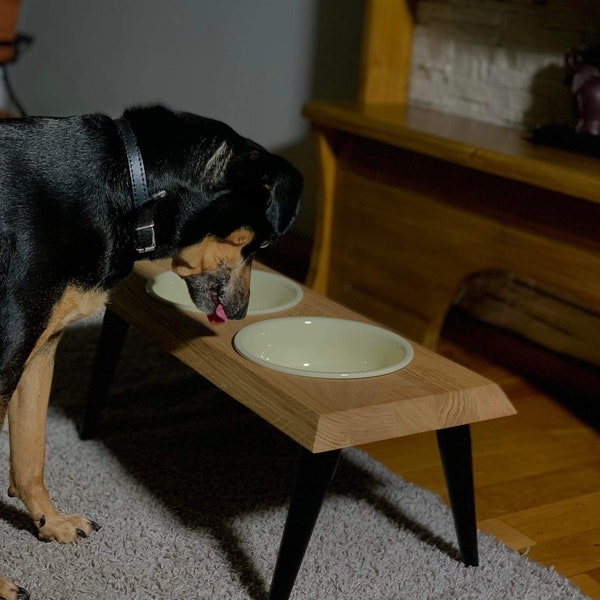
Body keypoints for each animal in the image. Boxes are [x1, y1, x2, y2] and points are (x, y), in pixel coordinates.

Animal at [0, 105, 302, 596]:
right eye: (259, 244)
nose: (240, 313)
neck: (128, 186)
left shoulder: (39, 351)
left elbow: (31, 455)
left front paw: (52, 523)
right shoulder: (7, 353)